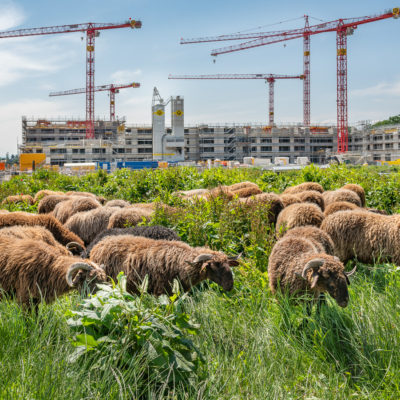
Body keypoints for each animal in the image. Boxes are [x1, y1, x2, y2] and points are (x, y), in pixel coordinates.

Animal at [89, 236, 239, 296]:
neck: (181, 263)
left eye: (227, 265)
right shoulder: (162, 292)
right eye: (214, 266)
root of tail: (99, 244)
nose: (230, 285)